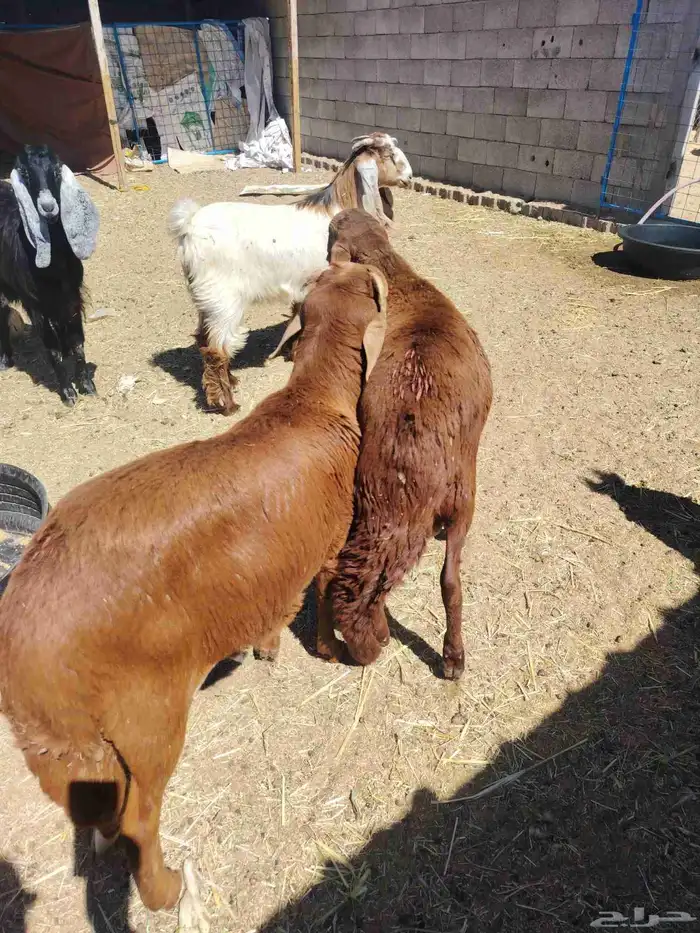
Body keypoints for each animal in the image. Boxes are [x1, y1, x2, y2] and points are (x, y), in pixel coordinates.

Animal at [0, 145, 99, 405]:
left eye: (55, 170)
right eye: (25, 172)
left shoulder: (72, 296)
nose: (48, 207)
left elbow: (77, 341)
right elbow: (51, 348)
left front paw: (87, 385)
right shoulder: (36, 303)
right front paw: (68, 393)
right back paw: (5, 360)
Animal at [0, 258, 388, 930]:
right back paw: (170, 892)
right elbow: (320, 600)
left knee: (98, 808)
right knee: (138, 820)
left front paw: (267, 647)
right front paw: (327, 651)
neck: (313, 401)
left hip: (67, 746)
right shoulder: (330, 543)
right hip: (146, 719)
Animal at [169, 132, 411, 416]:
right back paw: (226, 403)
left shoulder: (303, 283)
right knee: (216, 349)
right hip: (223, 300)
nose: (409, 177)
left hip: (205, 299)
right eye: (390, 155)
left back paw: (230, 381)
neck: (335, 208)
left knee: (203, 339)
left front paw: (293, 352)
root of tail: (190, 226)